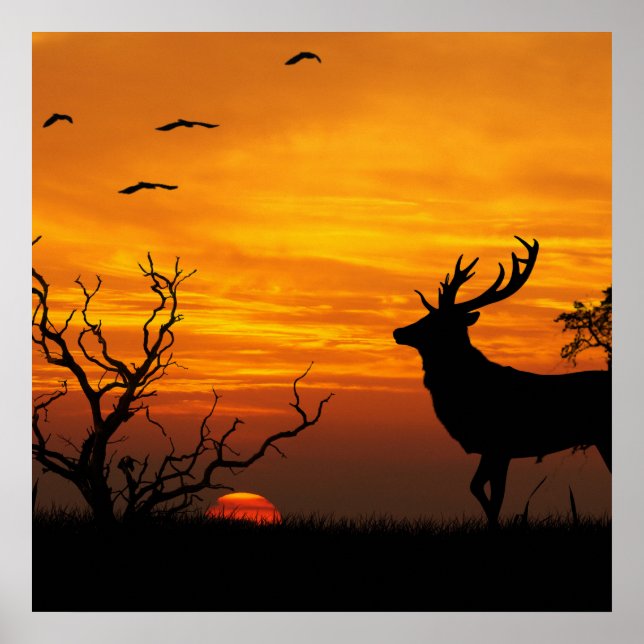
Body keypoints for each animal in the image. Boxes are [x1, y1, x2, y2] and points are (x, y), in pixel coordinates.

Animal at [393, 236, 611, 524]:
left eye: (436, 321)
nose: (399, 331)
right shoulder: (493, 449)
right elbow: (478, 487)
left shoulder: (500, 444)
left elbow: (491, 494)